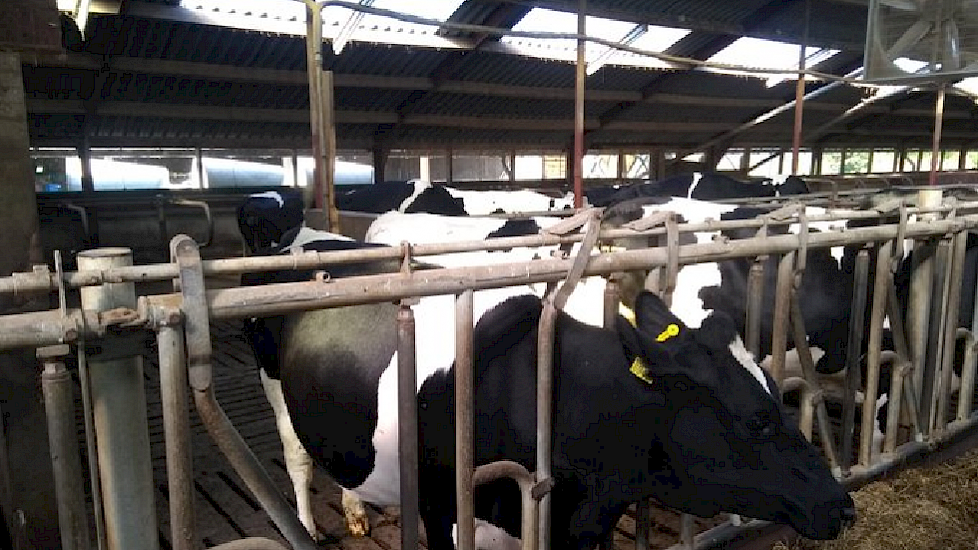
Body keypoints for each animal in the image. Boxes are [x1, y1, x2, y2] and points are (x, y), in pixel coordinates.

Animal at [242, 229, 856, 550]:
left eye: (778, 396)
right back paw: (305, 525)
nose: (841, 505)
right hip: (275, 389)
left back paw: (354, 510)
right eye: (757, 420)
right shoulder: (445, 511)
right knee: (296, 455)